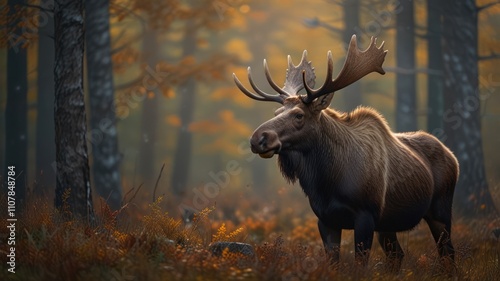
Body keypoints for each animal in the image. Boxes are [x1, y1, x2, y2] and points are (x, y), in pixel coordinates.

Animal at [232, 36, 458, 268]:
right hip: (388, 224)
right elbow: (333, 263)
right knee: (398, 256)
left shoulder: (365, 215)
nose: (258, 138)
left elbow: (360, 265)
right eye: (277, 112)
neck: (328, 183)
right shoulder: (326, 219)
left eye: (299, 115)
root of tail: (452, 156)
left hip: (440, 210)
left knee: (448, 254)